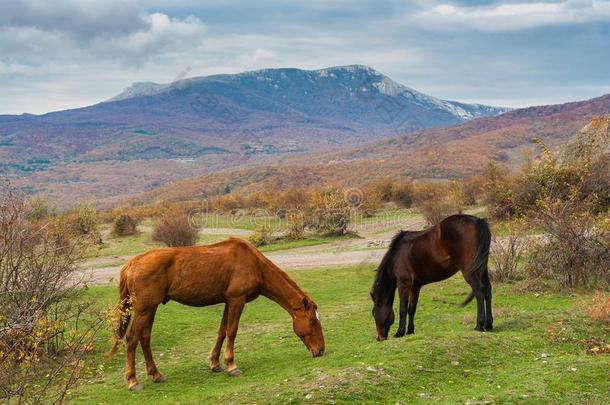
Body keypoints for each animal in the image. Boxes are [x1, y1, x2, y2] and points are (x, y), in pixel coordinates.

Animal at [108, 237, 324, 388]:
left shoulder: (228, 301)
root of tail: (132, 264)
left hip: (150, 309)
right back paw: (133, 381)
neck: (254, 264)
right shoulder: (237, 300)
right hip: (144, 309)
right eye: (313, 321)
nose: (320, 351)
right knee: (132, 339)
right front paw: (231, 365)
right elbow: (232, 331)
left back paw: (156, 374)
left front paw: (215, 363)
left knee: (145, 338)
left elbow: (222, 332)